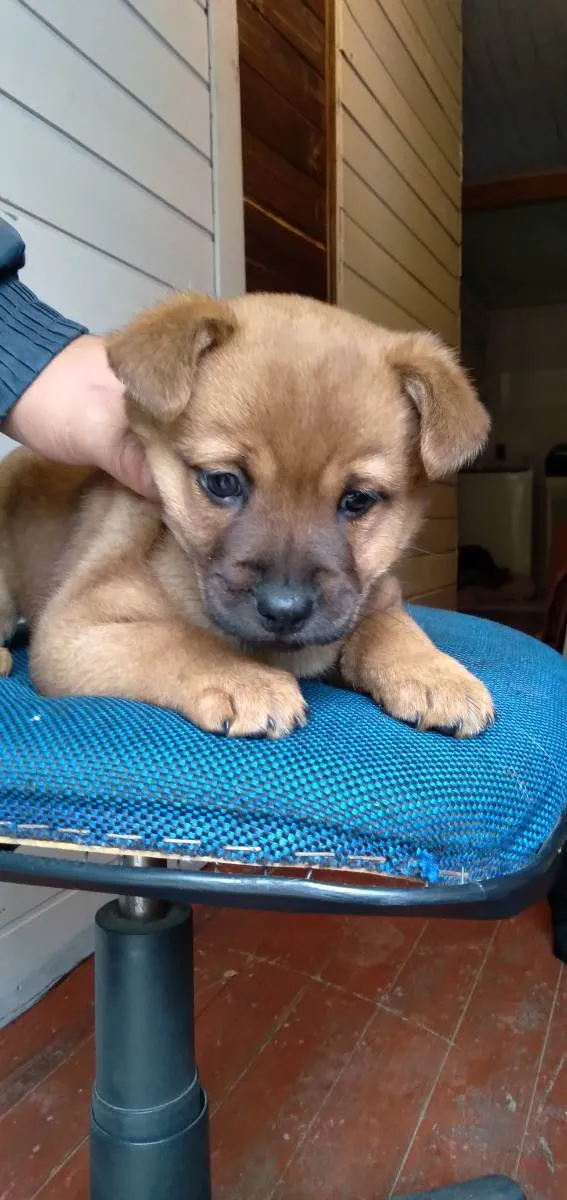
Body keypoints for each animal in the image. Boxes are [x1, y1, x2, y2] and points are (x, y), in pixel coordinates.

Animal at [0, 292, 494, 739]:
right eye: (223, 483)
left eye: (358, 499)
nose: (285, 611)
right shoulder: (75, 627)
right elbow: (176, 639)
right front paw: (246, 680)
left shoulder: (376, 596)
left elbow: (391, 627)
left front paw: (435, 673)